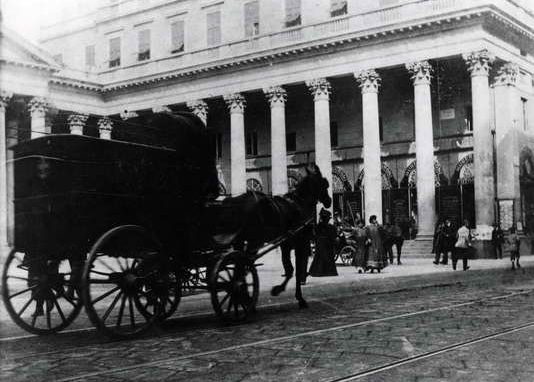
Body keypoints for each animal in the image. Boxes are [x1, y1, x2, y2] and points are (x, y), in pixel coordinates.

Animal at [216, 163, 332, 308]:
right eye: (324, 183)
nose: (329, 201)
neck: (299, 203)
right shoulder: (300, 243)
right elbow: (295, 270)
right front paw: (295, 296)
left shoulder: (286, 244)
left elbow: (289, 268)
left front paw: (284, 291)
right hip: (254, 241)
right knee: (244, 265)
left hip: (240, 241)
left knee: (240, 266)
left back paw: (241, 295)